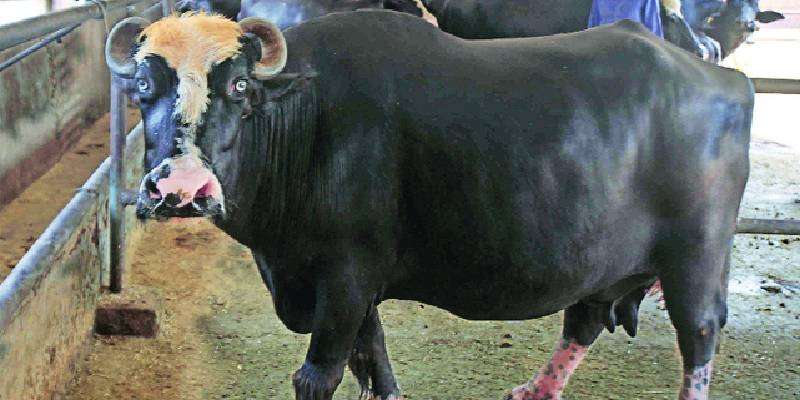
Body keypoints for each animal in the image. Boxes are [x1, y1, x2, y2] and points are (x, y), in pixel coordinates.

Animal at [105, 11, 753, 400]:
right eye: (144, 87)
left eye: (238, 87)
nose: (182, 188)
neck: (308, 122)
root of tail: (725, 80)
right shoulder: (354, 291)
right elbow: (377, 368)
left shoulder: (345, 278)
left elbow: (319, 375)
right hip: (601, 260)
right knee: (586, 319)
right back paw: (534, 389)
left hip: (696, 256)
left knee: (699, 331)